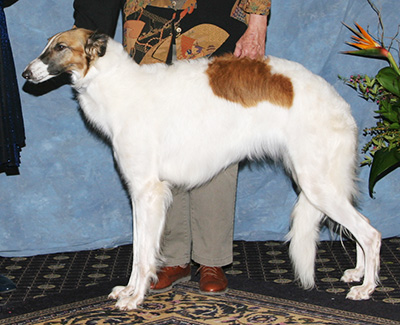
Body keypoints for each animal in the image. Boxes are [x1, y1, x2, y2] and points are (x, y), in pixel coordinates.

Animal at [22, 29, 382, 310]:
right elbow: (139, 248)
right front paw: (128, 290)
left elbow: (142, 254)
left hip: (316, 182)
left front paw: (134, 298)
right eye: (48, 44)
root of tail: (338, 102)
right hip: (323, 180)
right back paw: (358, 273)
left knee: (370, 232)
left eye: (60, 46)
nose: (26, 74)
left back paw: (366, 288)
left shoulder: (147, 192)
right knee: (362, 225)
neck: (119, 86)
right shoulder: (142, 192)